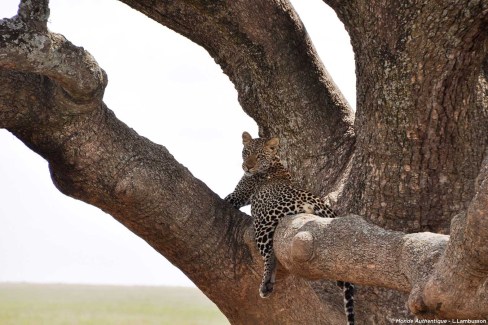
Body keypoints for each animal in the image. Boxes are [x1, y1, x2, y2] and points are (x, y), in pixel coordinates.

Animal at [225, 131, 354, 324]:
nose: (247, 167)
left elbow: (226, 198)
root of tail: (311, 198)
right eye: (246, 152)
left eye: (259, 156)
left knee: (270, 254)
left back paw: (266, 285)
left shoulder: (237, 196)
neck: (275, 161)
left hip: (264, 223)